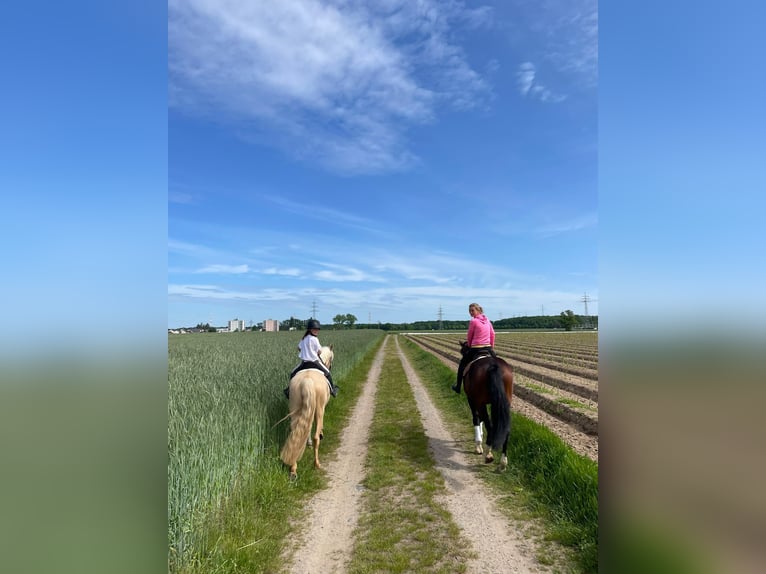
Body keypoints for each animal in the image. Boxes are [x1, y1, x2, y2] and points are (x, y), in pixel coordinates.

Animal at [280, 346, 332, 482]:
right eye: (332, 358)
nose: (329, 366)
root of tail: (307, 381)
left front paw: (307, 443)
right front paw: (321, 434)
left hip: (296, 408)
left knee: (296, 434)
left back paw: (293, 469)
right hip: (318, 409)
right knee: (315, 437)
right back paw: (317, 464)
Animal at [462, 342, 516, 472]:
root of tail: (493, 366)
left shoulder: (472, 400)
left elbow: (476, 419)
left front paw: (478, 444)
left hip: (480, 402)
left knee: (489, 425)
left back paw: (488, 454)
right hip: (505, 402)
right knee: (506, 429)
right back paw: (503, 463)